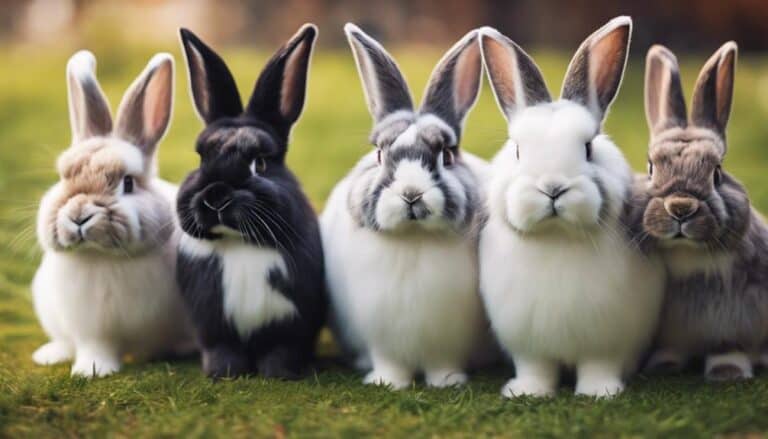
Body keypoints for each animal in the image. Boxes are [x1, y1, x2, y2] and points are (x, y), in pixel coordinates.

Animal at [31, 50, 194, 377]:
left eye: (127, 183)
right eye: (63, 178)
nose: (79, 216)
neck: (105, 258)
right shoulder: (91, 327)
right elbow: (96, 347)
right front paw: (92, 370)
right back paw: (49, 354)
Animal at [176, 24, 327, 379]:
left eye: (259, 163)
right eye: (201, 159)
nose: (216, 195)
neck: (240, 244)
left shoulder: (291, 326)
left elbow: (281, 351)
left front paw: (279, 375)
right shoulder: (213, 327)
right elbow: (222, 350)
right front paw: (224, 374)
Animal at [320, 23, 491, 390]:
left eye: (447, 156)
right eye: (379, 154)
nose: (411, 194)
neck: (413, 238)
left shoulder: (446, 340)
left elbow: (443, 362)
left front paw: (448, 382)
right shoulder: (382, 335)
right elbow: (390, 362)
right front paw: (387, 383)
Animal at [477, 16, 666, 398]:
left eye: (589, 148)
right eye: (517, 150)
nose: (553, 188)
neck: (556, 237)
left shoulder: (607, 343)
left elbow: (598, 366)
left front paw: (599, 393)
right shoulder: (529, 346)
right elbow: (536, 369)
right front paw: (527, 392)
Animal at [635, 42, 768, 381]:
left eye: (717, 173)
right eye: (651, 167)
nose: (681, 208)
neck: (688, 256)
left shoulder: (737, 323)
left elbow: (728, 348)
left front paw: (728, 373)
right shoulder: (672, 332)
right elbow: (672, 350)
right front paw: (663, 366)